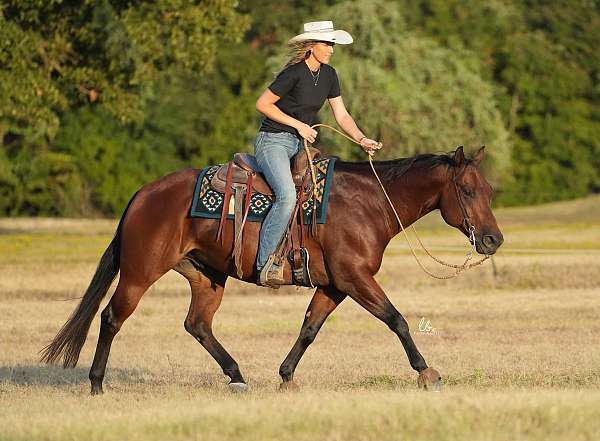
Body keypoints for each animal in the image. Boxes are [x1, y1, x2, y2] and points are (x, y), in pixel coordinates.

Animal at [41, 144, 502, 392]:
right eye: (466, 190)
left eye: (489, 190)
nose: (493, 240)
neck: (368, 204)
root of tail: (143, 194)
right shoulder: (355, 278)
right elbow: (397, 319)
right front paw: (427, 372)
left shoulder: (334, 285)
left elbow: (309, 328)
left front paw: (286, 375)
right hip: (140, 272)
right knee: (111, 317)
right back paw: (96, 383)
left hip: (207, 276)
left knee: (197, 325)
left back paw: (236, 376)